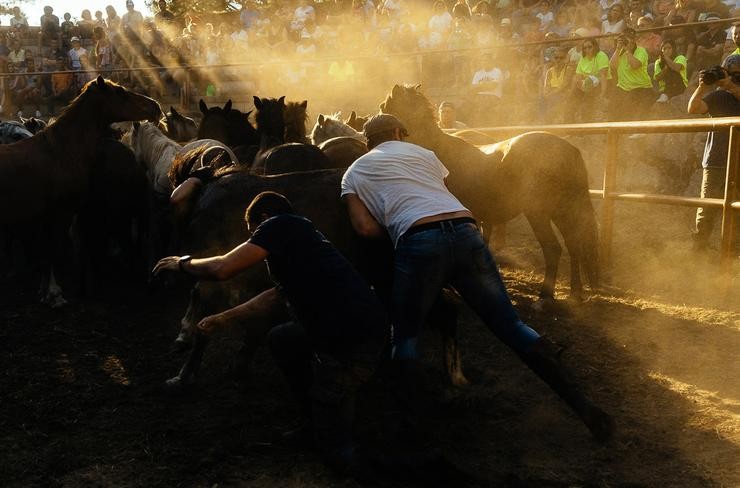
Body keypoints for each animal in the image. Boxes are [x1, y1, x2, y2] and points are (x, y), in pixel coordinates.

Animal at [0, 76, 162, 304]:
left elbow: (46, 252)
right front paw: (54, 293)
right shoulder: (62, 213)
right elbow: (54, 249)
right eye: (120, 92)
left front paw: (44, 290)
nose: (155, 106)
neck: (60, 151)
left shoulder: (47, 216)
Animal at [378, 86, 600, 304]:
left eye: (383, 106)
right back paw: (575, 293)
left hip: (539, 213)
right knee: (574, 245)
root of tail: (569, 150)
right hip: (563, 211)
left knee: (553, 248)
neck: (435, 148)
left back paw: (545, 295)